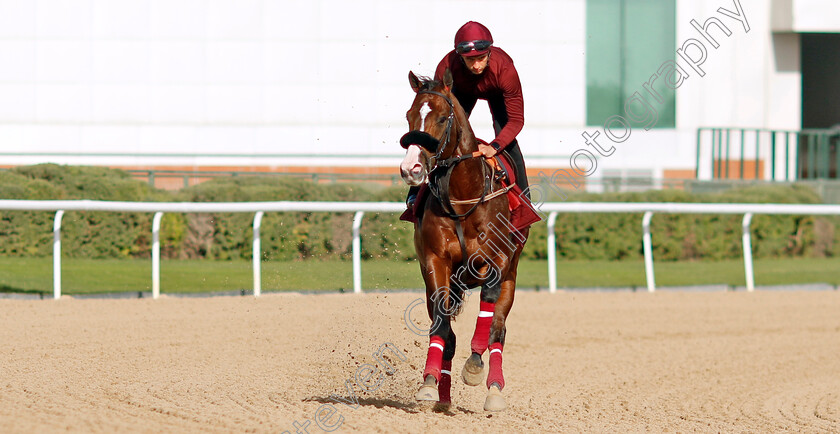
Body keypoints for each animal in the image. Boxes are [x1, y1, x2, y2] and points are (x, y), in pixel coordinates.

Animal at [398, 69, 528, 412]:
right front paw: (429, 385)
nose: (411, 168)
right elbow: (442, 327)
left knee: (498, 331)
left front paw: (474, 368)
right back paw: (442, 394)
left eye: (443, 118)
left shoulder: (497, 263)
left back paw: (494, 389)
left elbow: (488, 319)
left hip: (511, 276)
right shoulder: (435, 262)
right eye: (410, 116)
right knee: (448, 333)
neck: (462, 196)